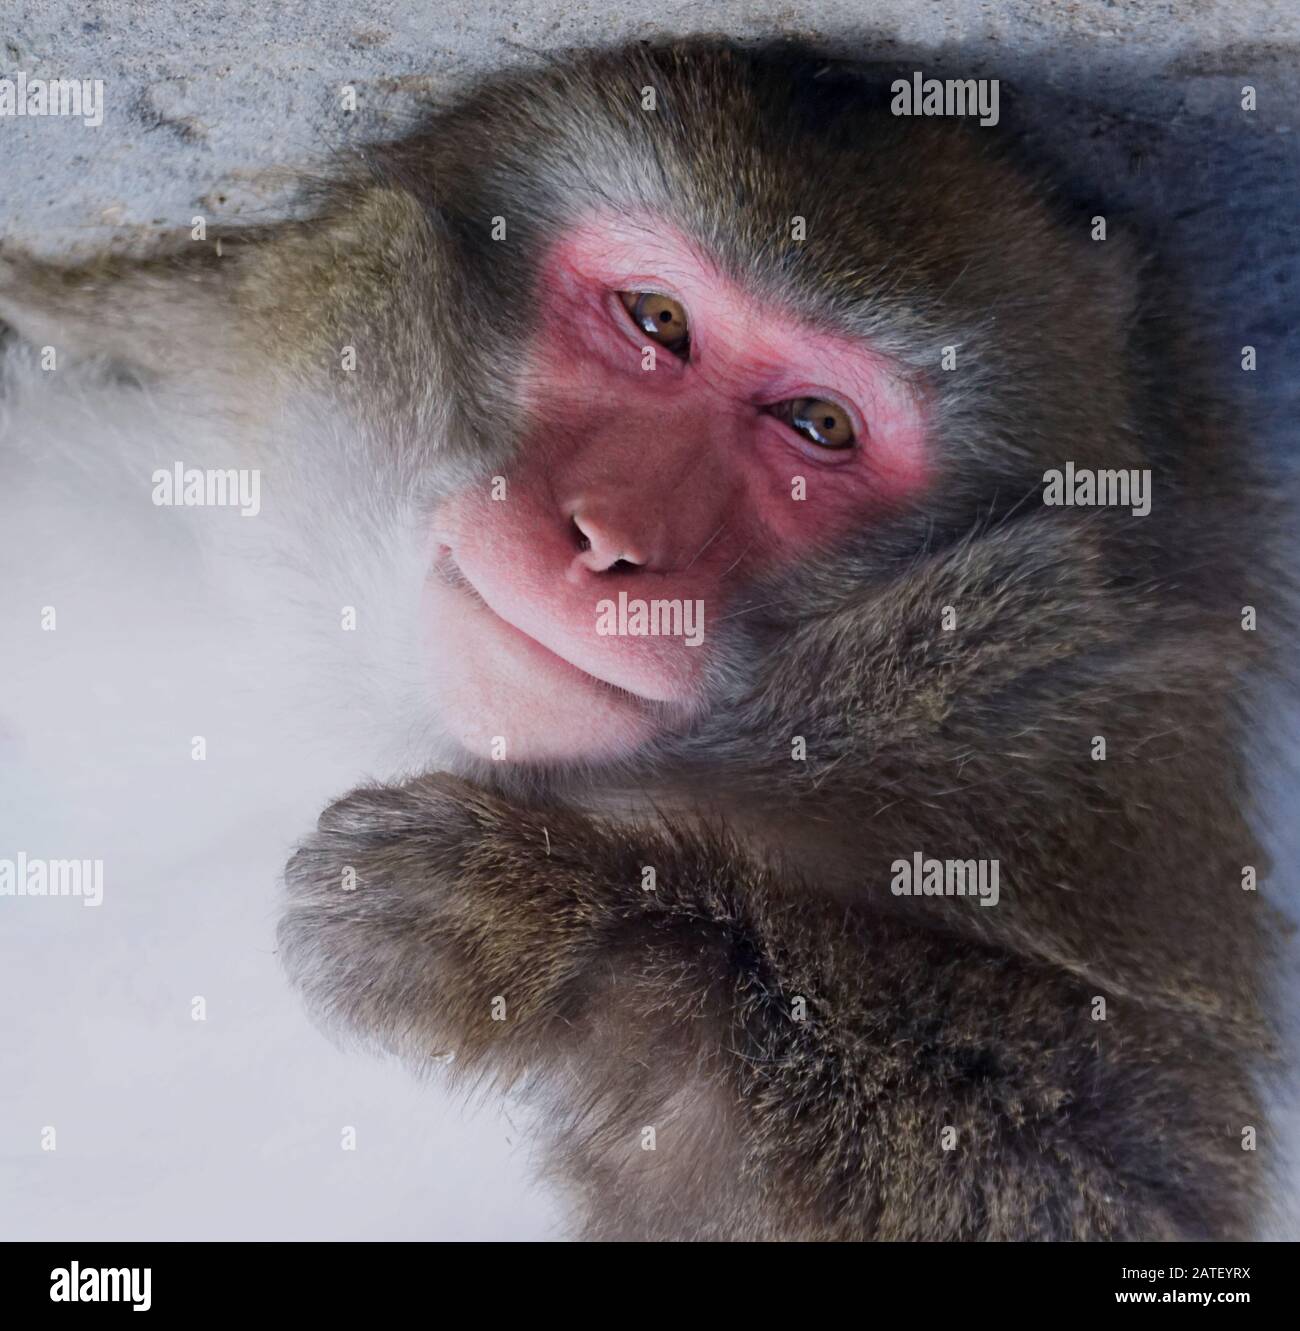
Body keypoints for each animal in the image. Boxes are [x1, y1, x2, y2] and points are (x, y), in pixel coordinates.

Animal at [2, 41, 1288, 1240]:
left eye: (818, 425)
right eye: (657, 322)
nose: (610, 539)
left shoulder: (1090, 781)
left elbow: (1121, 1173)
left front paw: (553, 929)